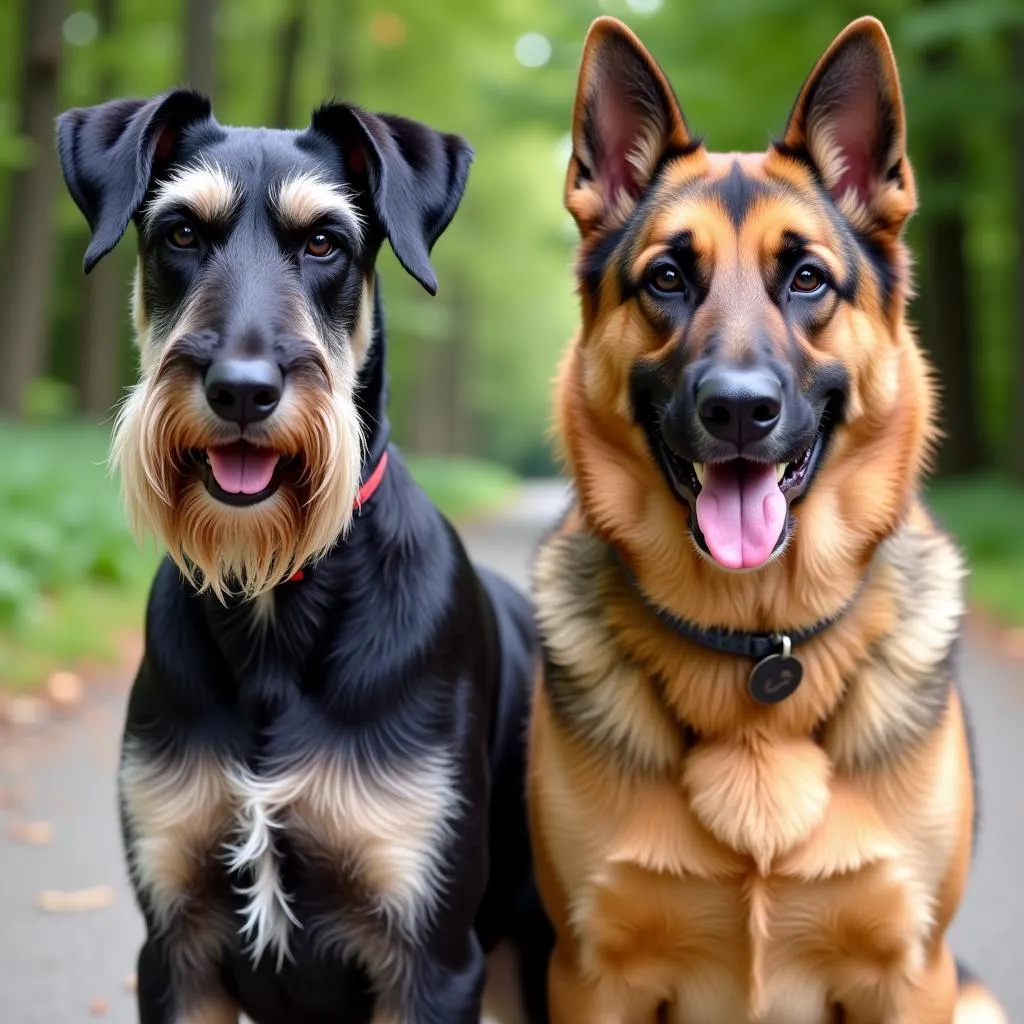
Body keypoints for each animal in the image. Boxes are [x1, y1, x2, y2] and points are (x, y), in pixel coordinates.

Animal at [56, 90, 552, 1024]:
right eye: (180, 232)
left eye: (325, 242)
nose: (243, 390)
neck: (273, 602)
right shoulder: (174, 947)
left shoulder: (429, 956)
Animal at [528, 16, 1007, 1024]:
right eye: (668, 277)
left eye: (809, 279)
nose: (739, 410)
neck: (758, 640)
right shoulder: (591, 975)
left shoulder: (912, 973)